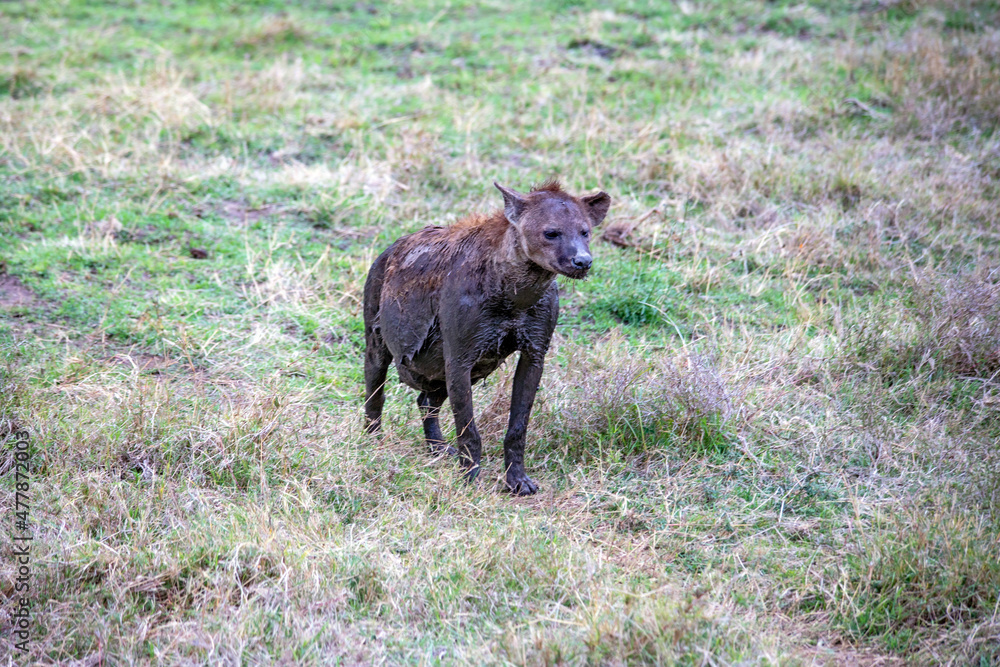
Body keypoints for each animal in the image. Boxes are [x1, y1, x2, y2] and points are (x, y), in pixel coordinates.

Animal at [362, 180, 610, 495]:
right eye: (551, 233)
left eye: (585, 231)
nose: (583, 261)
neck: (515, 295)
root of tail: (392, 247)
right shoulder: (460, 356)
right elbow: (468, 427)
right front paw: (469, 480)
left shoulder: (534, 352)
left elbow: (518, 425)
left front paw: (518, 481)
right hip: (377, 317)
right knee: (375, 381)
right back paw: (372, 441)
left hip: (447, 368)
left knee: (427, 400)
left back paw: (438, 448)